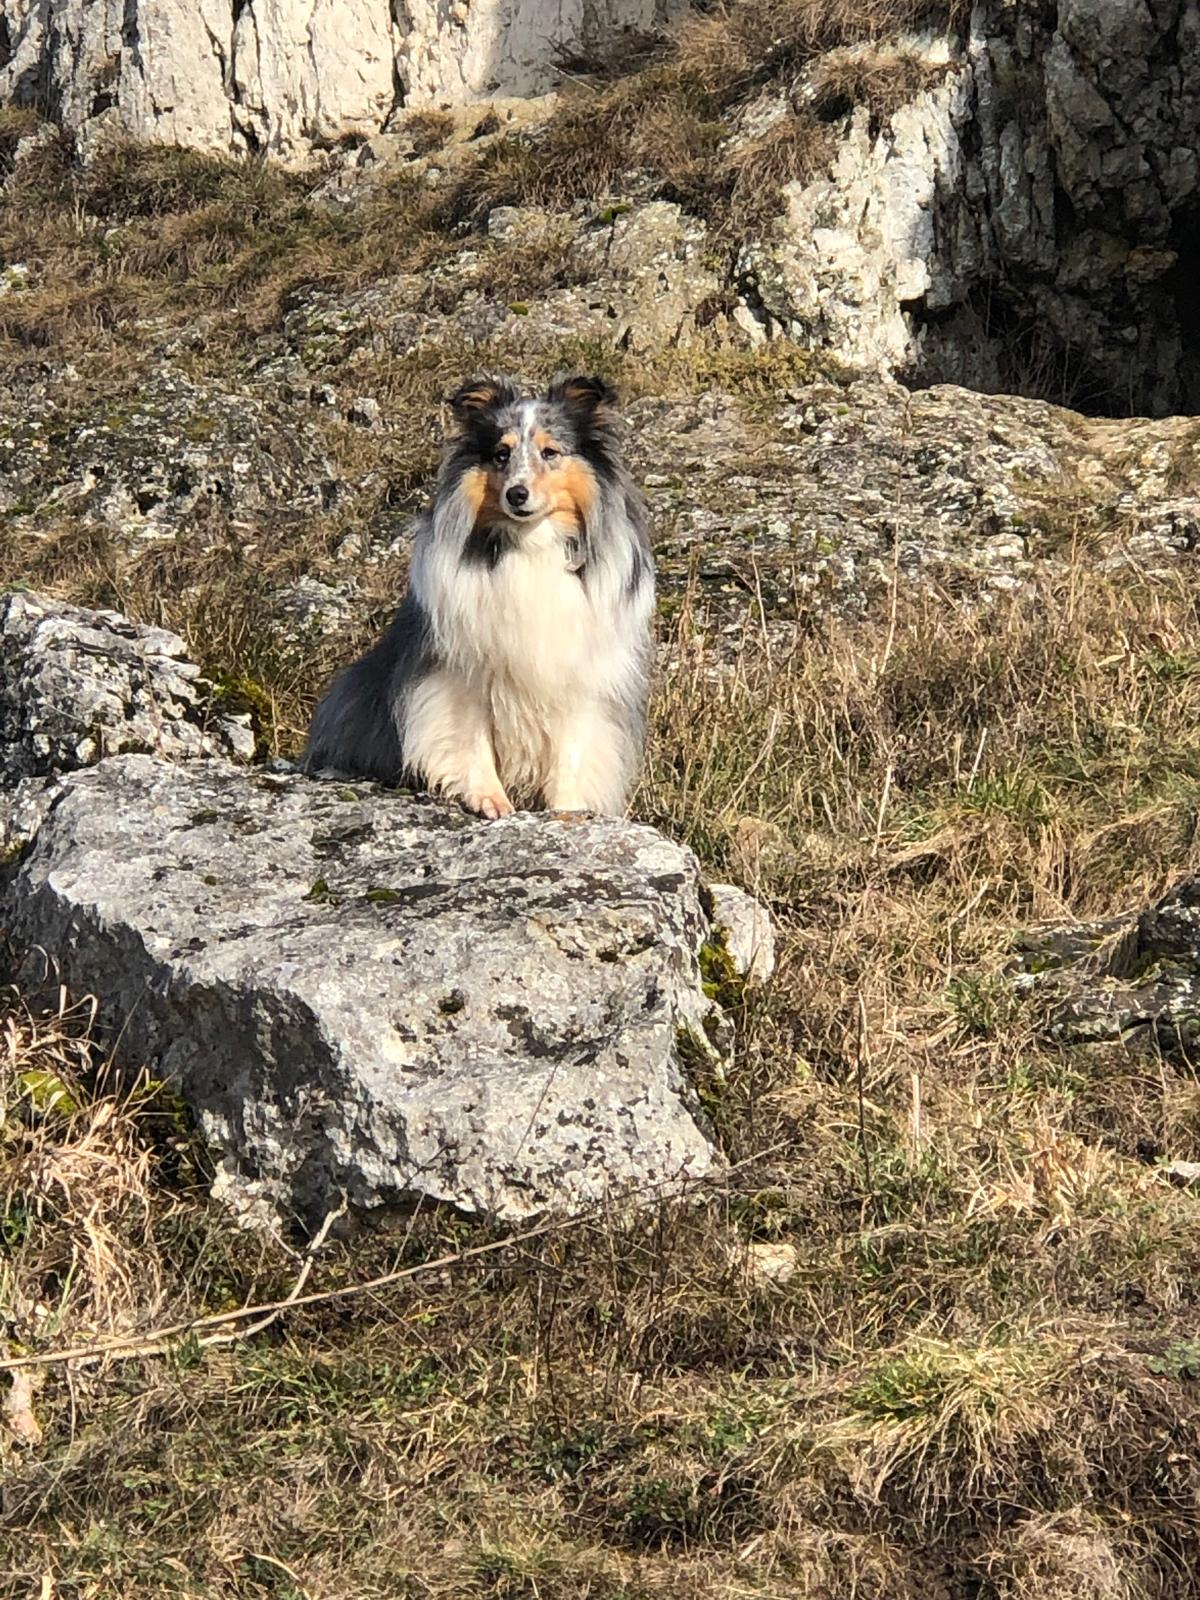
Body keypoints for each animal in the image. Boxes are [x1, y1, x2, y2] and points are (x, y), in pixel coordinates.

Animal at [303, 374, 655, 818]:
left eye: (550, 452)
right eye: (501, 454)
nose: (517, 495)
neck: (530, 545)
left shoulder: (578, 671)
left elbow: (571, 748)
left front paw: (567, 810)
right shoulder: (461, 668)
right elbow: (471, 737)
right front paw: (490, 800)